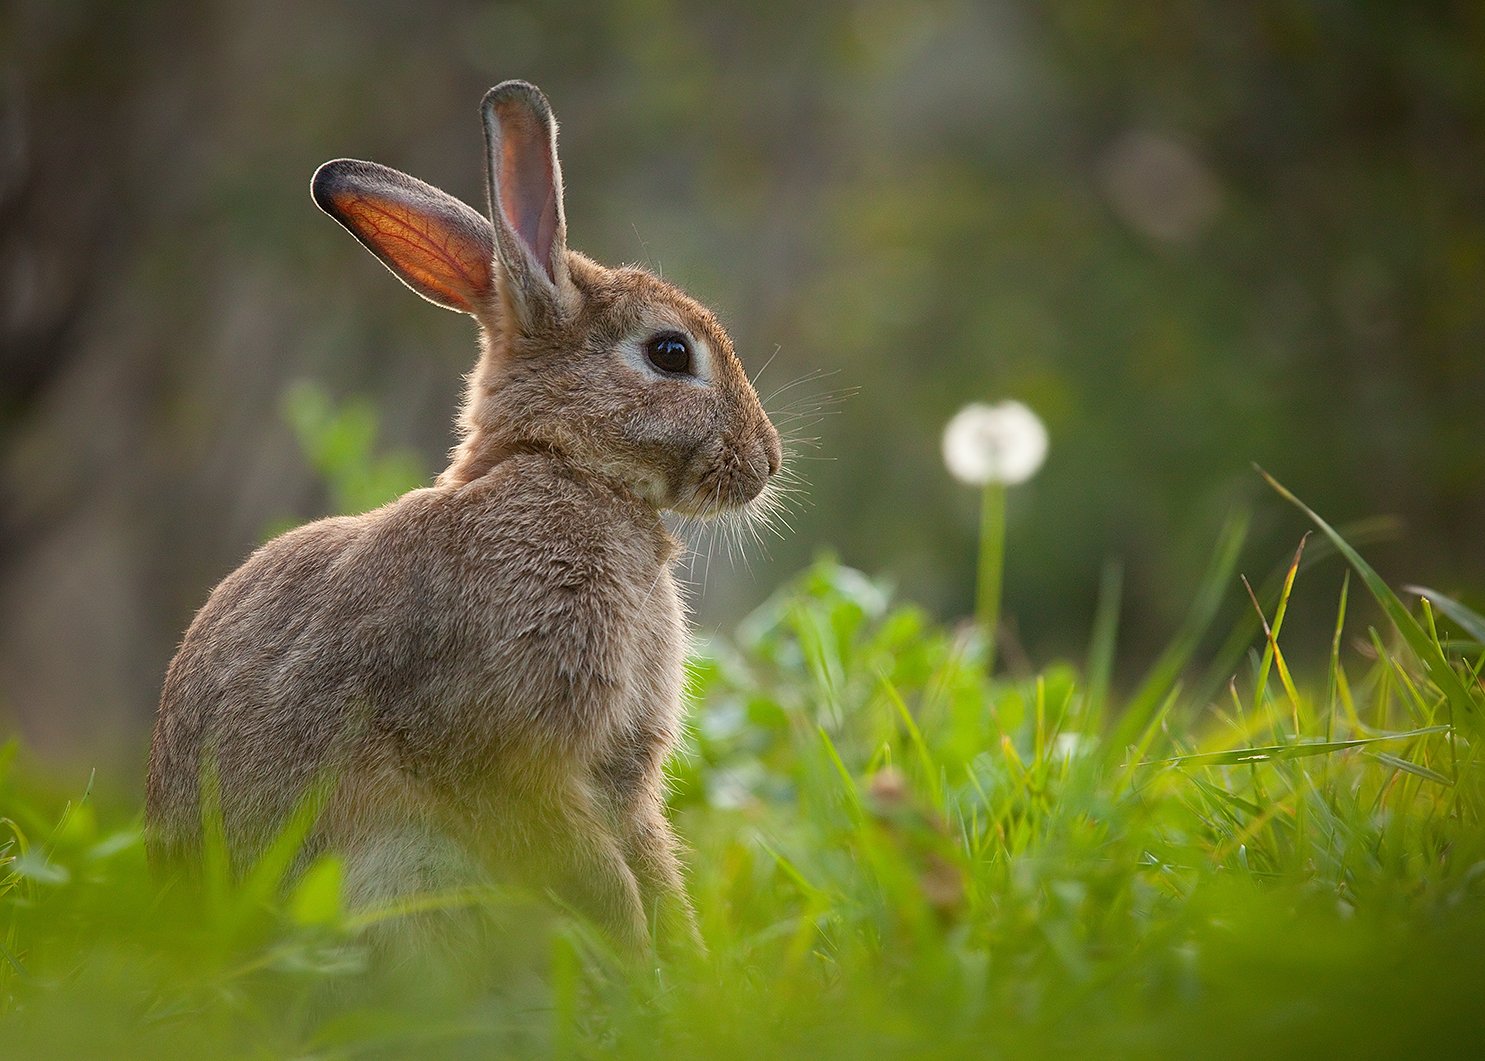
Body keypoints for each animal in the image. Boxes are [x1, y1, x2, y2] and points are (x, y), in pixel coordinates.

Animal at [144, 76, 784, 951]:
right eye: (670, 353)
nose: (768, 461)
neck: (564, 468)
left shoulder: (624, 773)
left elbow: (648, 857)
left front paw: (682, 962)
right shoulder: (506, 742)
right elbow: (589, 863)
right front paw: (635, 954)